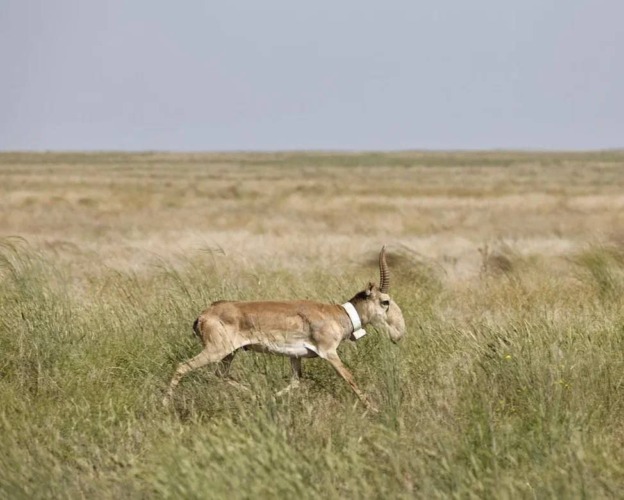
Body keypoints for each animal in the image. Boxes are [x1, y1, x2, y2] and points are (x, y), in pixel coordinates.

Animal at [162, 246, 404, 410]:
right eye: (385, 301)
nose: (400, 333)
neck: (337, 314)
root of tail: (204, 314)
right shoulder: (329, 353)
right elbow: (349, 377)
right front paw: (374, 408)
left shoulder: (295, 357)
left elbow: (296, 382)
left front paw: (271, 398)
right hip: (216, 351)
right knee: (183, 366)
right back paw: (164, 403)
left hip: (229, 354)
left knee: (220, 375)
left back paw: (255, 395)